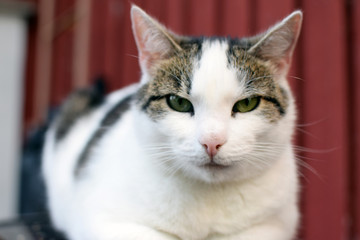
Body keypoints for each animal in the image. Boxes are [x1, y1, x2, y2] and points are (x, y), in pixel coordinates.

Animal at [43, 5, 304, 240]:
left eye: (247, 103)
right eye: (178, 102)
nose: (212, 142)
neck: (208, 199)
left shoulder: (273, 225)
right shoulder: (104, 220)